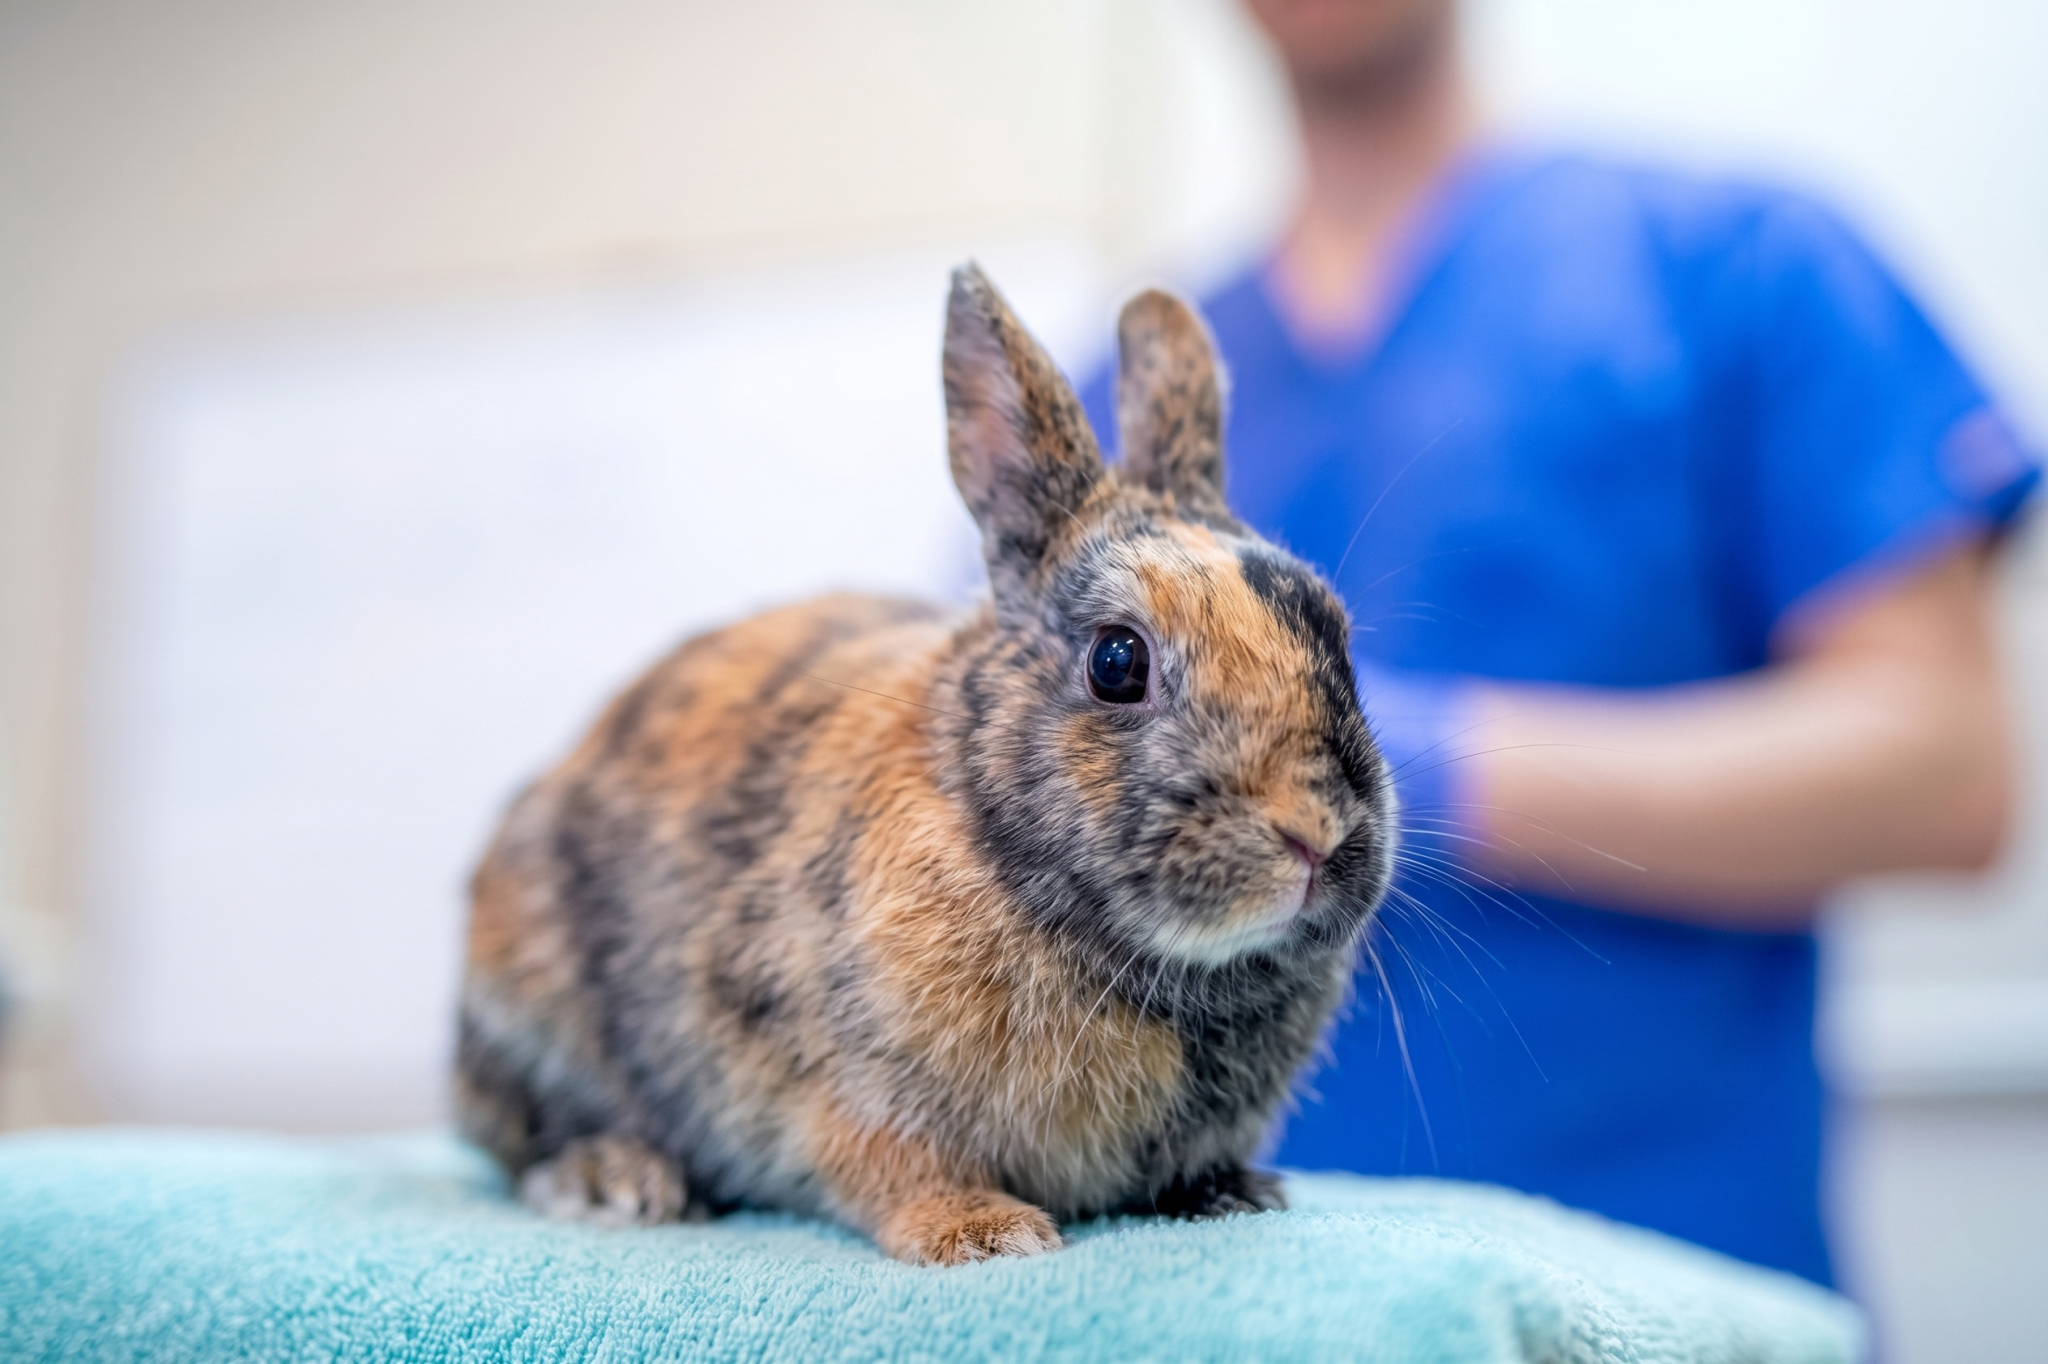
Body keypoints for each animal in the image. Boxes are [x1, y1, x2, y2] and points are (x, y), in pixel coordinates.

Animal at [454, 264, 1394, 1265]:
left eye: (1332, 631)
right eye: (1117, 661)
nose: (1316, 833)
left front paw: (1233, 1195)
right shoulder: (846, 1082)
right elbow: (892, 1162)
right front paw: (985, 1234)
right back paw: (616, 1180)